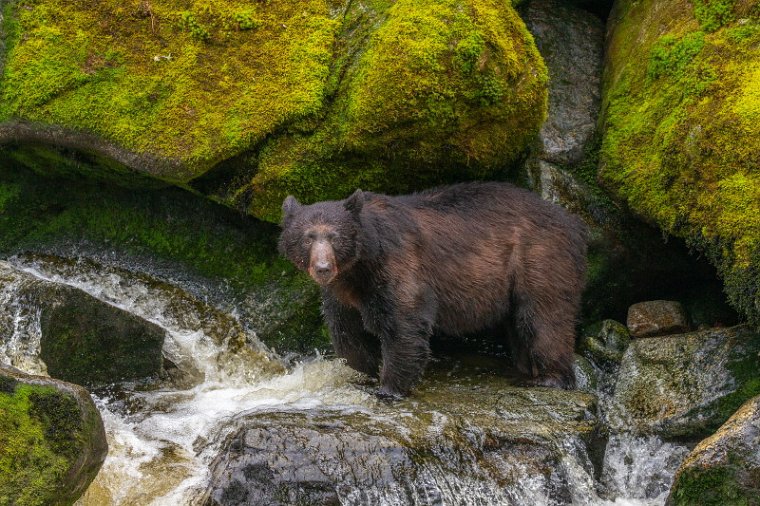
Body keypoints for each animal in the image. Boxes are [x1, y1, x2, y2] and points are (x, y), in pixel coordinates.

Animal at [280, 183, 588, 400]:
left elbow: (404, 323)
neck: (359, 266)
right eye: (307, 237)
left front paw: (389, 387)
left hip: (537, 259)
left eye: (334, 236)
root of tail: (573, 223)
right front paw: (365, 369)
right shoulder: (343, 292)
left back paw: (550, 377)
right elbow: (346, 331)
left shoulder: (396, 265)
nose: (322, 268)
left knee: (544, 318)